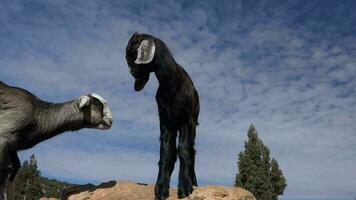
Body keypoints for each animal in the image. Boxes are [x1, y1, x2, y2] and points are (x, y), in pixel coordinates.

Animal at [125, 32, 199, 199]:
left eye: (133, 53)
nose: (132, 72)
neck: (172, 85)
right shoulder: (166, 123)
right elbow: (166, 153)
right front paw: (160, 188)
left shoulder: (186, 121)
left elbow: (184, 150)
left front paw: (185, 187)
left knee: (192, 152)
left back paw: (194, 182)